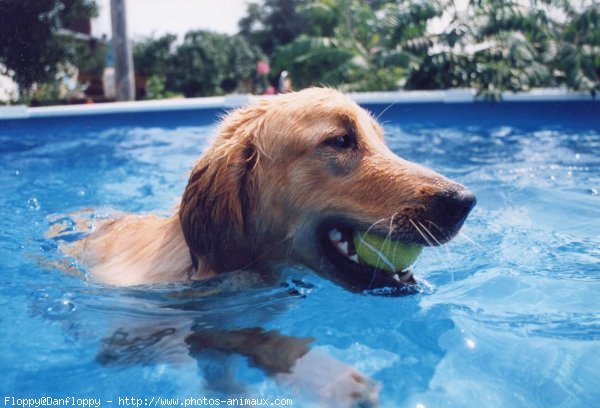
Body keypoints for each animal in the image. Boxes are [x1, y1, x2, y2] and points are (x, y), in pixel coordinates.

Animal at [57, 87, 478, 406]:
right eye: (341, 140)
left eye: (381, 142)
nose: (465, 201)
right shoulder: (131, 333)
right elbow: (236, 333)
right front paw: (325, 374)